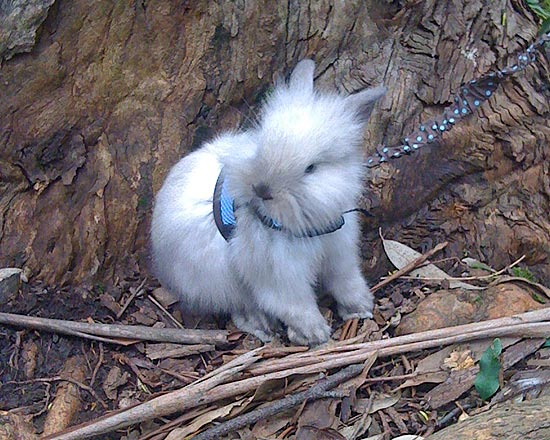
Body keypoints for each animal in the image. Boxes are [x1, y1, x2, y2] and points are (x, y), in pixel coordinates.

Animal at [151, 58, 388, 346]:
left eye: (311, 168)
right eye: (261, 145)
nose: (261, 189)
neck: (306, 223)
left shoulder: (339, 253)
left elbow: (346, 281)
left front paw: (361, 307)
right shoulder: (279, 277)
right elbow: (295, 306)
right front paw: (316, 334)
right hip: (221, 282)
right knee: (241, 308)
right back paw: (262, 326)